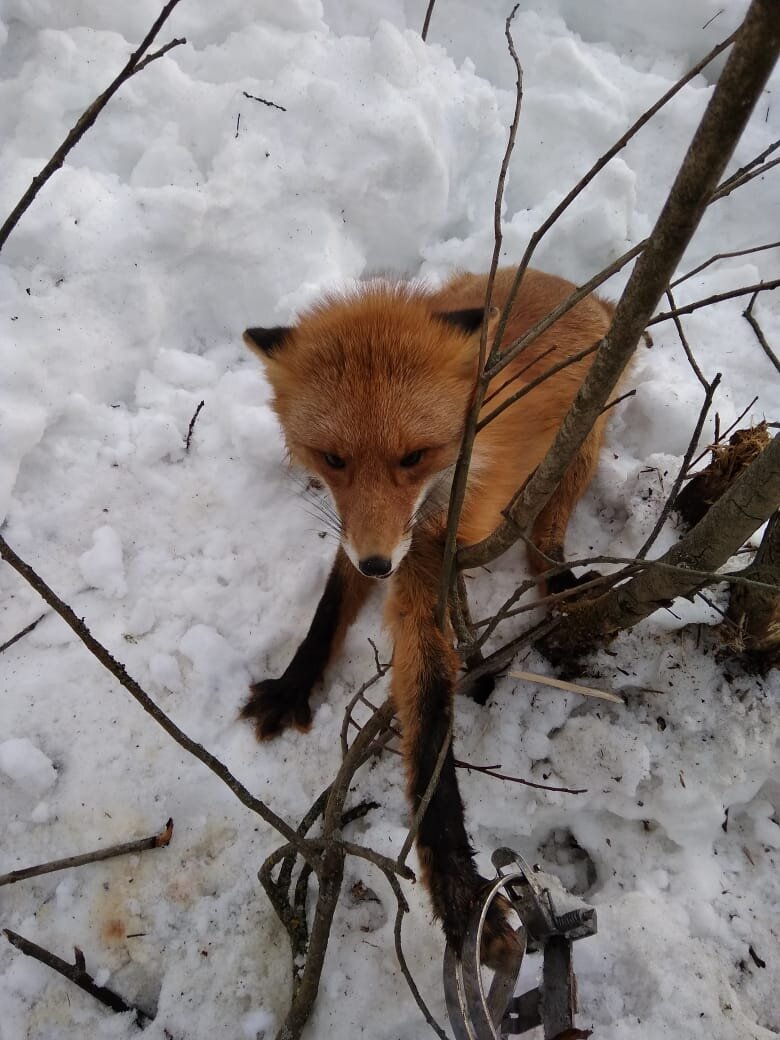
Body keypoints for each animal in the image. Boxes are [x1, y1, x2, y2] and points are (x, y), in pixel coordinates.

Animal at [241, 268, 615, 965]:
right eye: (333, 459)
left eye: (415, 455)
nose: (377, 564)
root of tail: (572, 287)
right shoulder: (368, 538)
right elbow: (328, 610)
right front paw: (294, 684)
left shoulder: (426, 564)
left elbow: (433, 723)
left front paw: (459, 892)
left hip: (581, 443)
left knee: (543, 540)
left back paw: (556, 583)